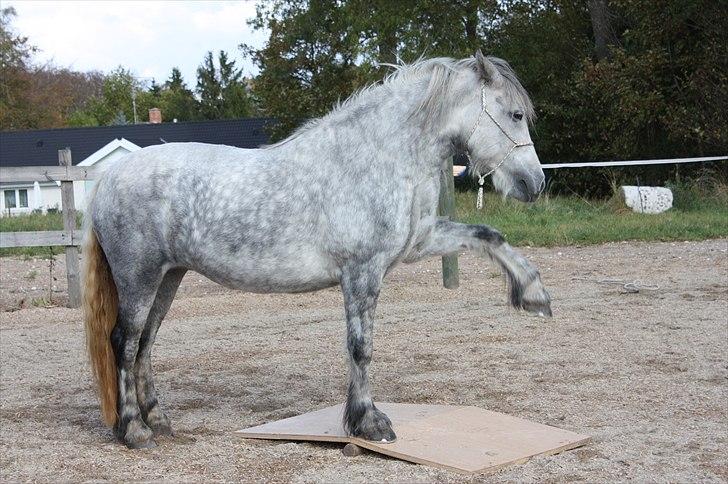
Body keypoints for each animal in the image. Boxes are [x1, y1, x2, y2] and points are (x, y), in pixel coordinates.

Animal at [83, 51, 552, 449]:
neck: (377, 156)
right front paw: (369, 422)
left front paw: (533, 295)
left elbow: (489, 235)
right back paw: (134, 430)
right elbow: (360, 346)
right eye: (514, 114)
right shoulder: (362, 271)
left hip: (168, 277)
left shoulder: (417, 243)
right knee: (124, 342)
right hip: (140, 278)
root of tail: (108, 177)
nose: (534, 183)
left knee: (145, 344)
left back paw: (159, 420)